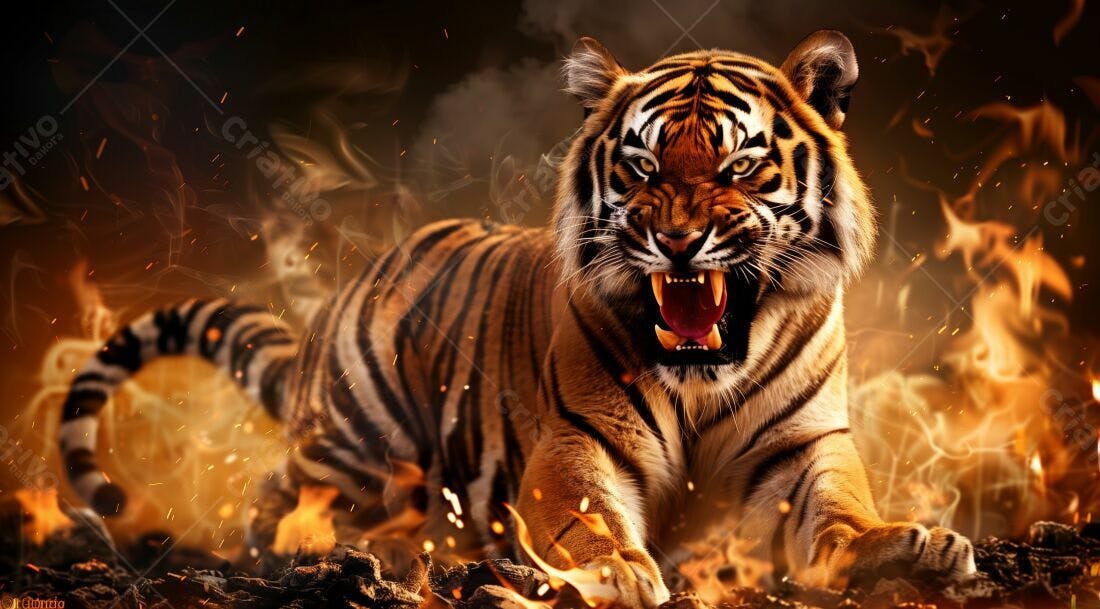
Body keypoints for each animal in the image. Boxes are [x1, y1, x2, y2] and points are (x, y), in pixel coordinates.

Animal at [57, 31, 976, 607]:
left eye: (739, 167)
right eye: (643, 167)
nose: (677, 241)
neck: (705, 371)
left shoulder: (803, 443)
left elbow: (842, 509)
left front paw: (907, 547)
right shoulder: (576, 443)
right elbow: (587, 515)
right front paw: (621, 570)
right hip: (358, 446)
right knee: (278, 493)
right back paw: (298, 549)